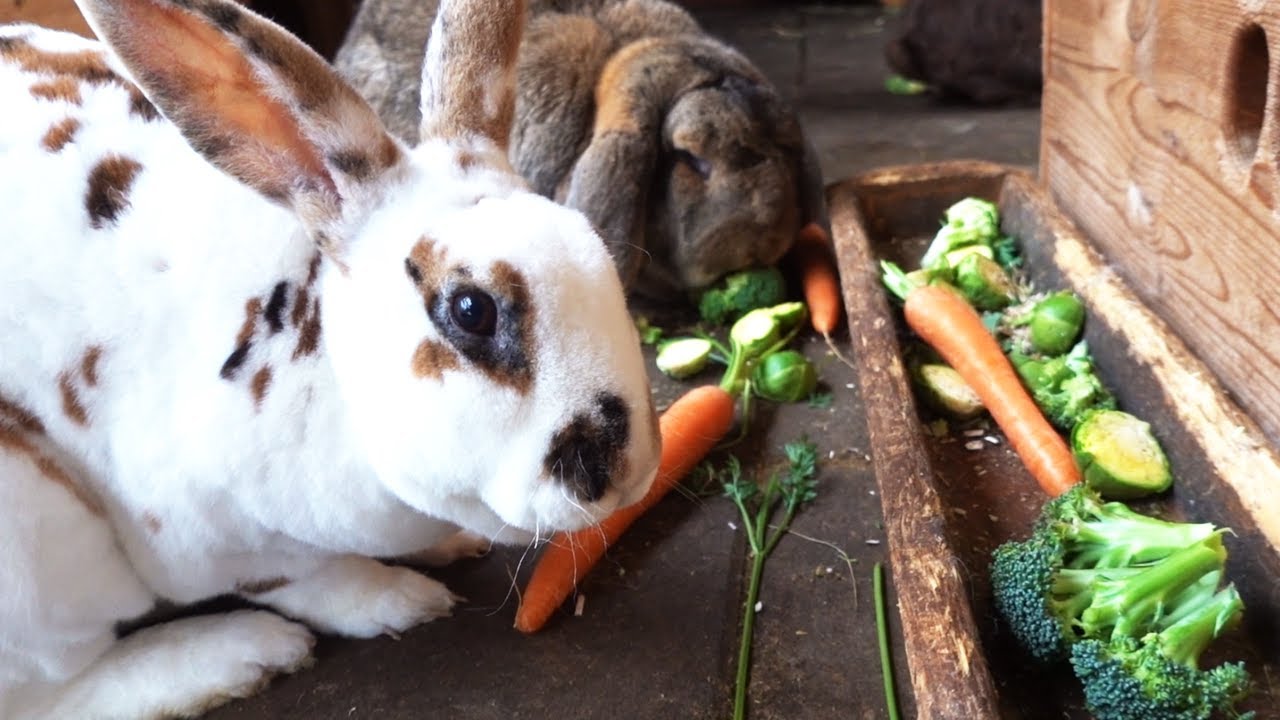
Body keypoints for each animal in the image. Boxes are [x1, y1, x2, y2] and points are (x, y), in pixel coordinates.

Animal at [0, 0, 662, 716]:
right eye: (471, 310)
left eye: (596, 247)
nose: (629, 469)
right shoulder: (198, 539)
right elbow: (309, 581)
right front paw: (397, 602)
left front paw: (454, 545)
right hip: (43, 557)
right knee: (52, 690)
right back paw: (242, 653)